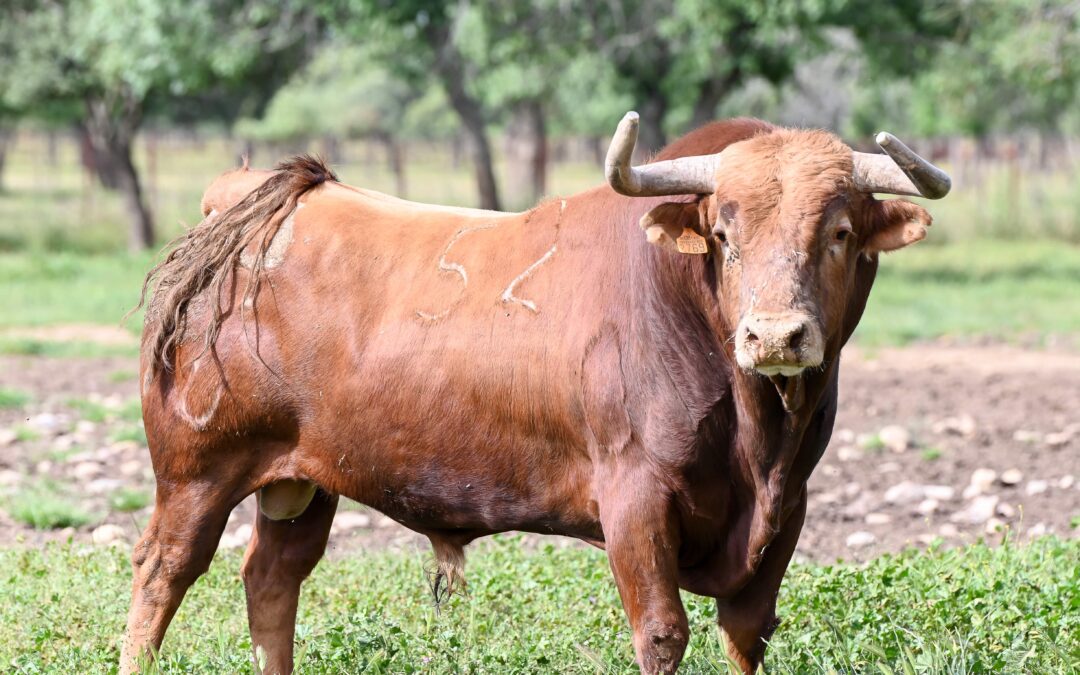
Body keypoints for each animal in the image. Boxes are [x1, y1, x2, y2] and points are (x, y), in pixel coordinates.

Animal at [120, 113, 946, 669]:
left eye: (839, 231)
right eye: (724, 234)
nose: (774, 337)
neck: (758, 437)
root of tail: (249, 197)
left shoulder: (789, 507)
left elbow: (746, 631)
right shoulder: (634, 499)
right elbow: (662, 631)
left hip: (300, 477)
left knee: (272, 578)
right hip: (197, 469)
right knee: (164, 571)